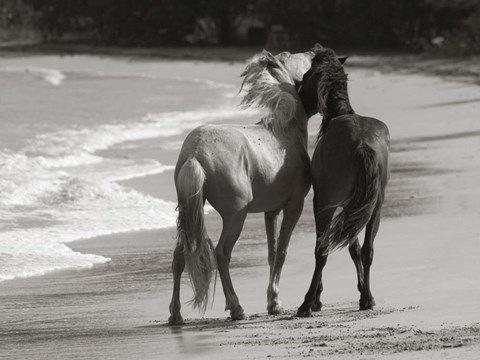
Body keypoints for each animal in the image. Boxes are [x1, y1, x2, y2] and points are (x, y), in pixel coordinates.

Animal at [170, 50, 316, 324]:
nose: (315, 50)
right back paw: (236, 308)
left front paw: (273, 301)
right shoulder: (294, 206)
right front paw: (274, 303)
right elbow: (281, 251)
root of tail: (196, 151)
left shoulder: (271, 211)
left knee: (179, 256)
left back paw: (175, 314)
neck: (283, 132)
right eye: (301, 60)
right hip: (235, 216)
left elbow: (272, 252)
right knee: (221, 253)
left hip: (188, 214)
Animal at [296, 45, 390, 318]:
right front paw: (362, 291)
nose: (298, 96)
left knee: (321, 251)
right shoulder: (353, 207)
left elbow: (327, 247)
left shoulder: (323, 201)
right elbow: (355, 248)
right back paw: (368, 299)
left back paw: (307, 303)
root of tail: (361, 144)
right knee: (369, 249)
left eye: (306, 75)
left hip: (327, 205)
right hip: (374, 207)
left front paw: (316, 299)